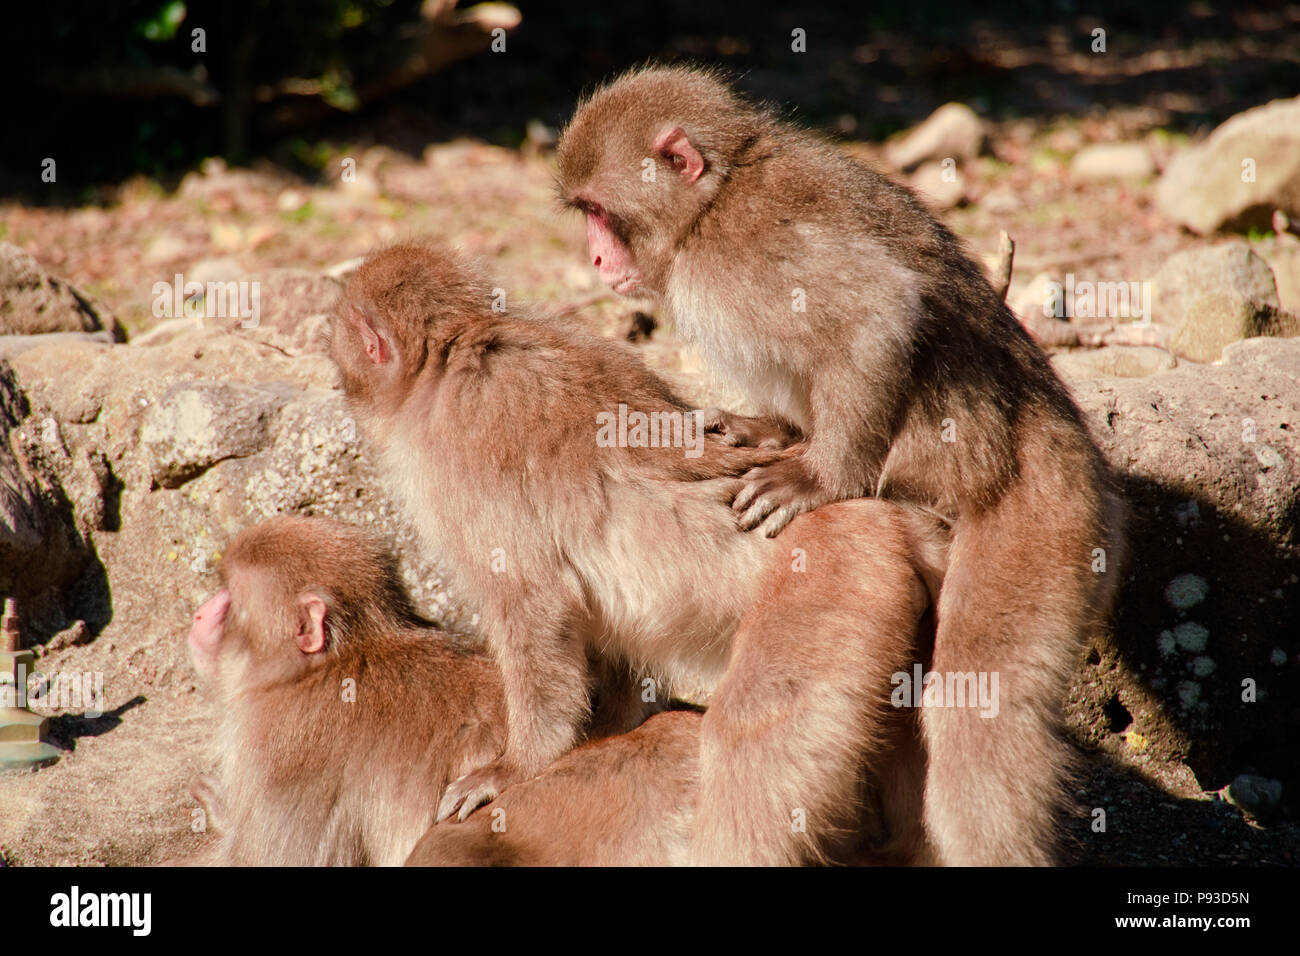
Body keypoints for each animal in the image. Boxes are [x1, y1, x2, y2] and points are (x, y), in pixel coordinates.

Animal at [329, 240, 950, 866]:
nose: (340, 386)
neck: (455, 353)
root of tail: (888, 517)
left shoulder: (464, 446)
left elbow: (534, 599)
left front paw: (516, 766)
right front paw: (609, 724)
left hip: (834, 599)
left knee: (747, 742)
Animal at [555, 65, 1128, 865]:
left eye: (601, 212)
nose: (597, 260)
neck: (711, 204)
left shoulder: (749, 250)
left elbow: (878, 315)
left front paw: (817, 478)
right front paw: (767, 430)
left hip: (1046, 528)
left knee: (979, 725)